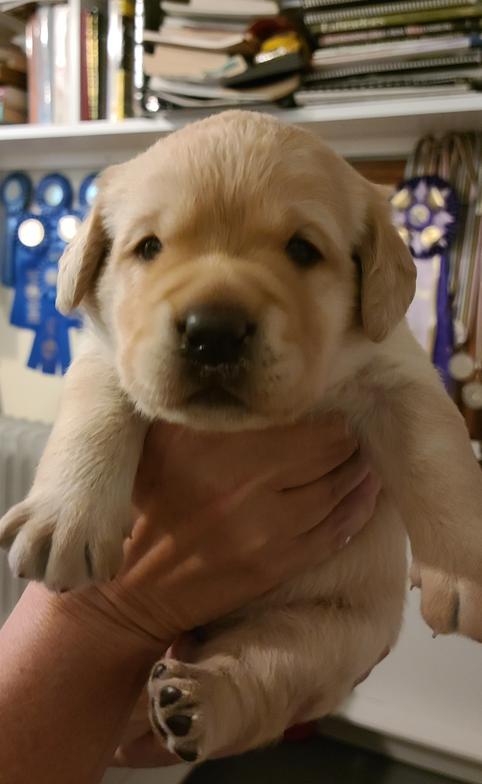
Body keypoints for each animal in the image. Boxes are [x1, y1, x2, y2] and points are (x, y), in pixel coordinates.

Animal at [0, 113, 482, 764]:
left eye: (303, 250)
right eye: (149, 247)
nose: (214, 332)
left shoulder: (400, 377)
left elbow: (440, 463)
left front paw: (464, 574)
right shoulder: (108, 356)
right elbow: (94, 416)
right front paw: (66, 520)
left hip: (334, 635)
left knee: (264, 674)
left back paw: (196, 702)